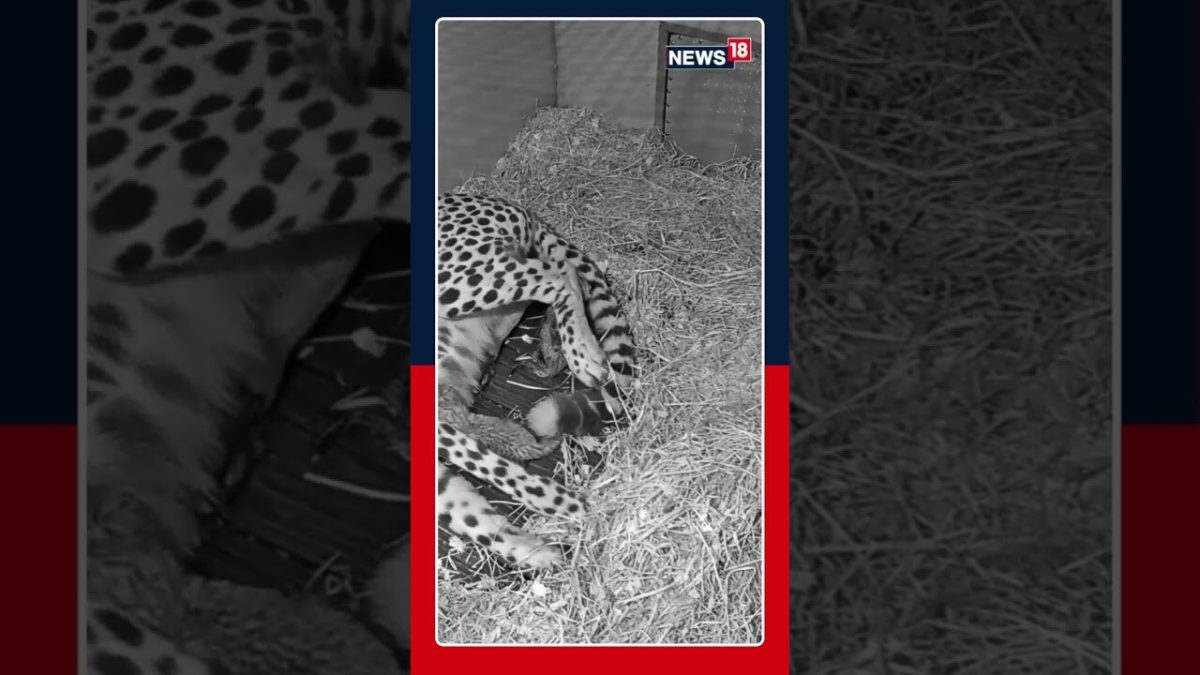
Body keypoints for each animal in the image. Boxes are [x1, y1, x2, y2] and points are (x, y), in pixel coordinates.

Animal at [435, 193, 637, 570]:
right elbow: (466, 514)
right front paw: (531, 550)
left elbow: (493, 467)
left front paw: (567, 505)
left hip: (451, 279)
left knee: (561, 275)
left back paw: (581, 353)